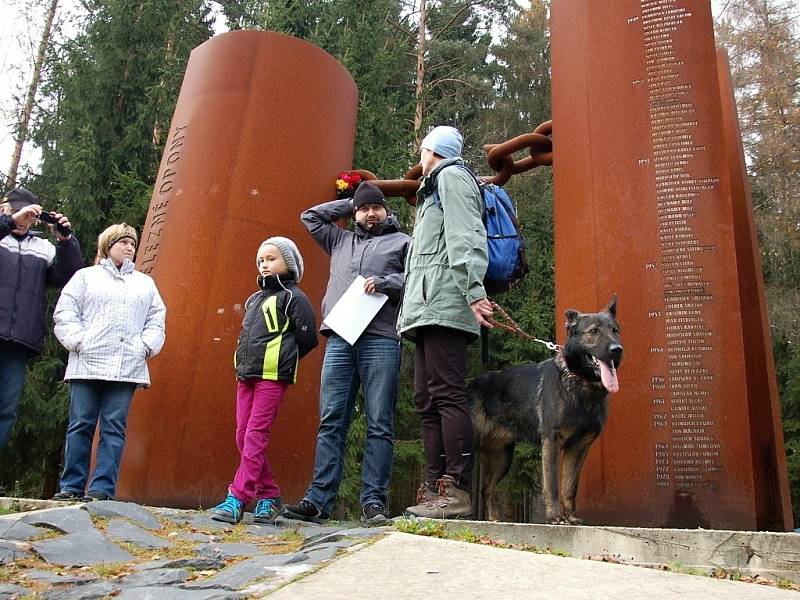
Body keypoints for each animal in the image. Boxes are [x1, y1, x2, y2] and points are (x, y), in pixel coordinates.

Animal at [472, 298, 620, 524]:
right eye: (594, 331)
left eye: (615, 330)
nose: (617, 349)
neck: (581, 384)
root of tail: (469, 385)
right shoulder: (551, 441)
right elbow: (552, 485)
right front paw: (555, 517)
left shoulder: (578, 447)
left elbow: (570, 487)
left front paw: (571, 517)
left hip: (502, 459)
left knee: (486, 489)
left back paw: (494, 518)